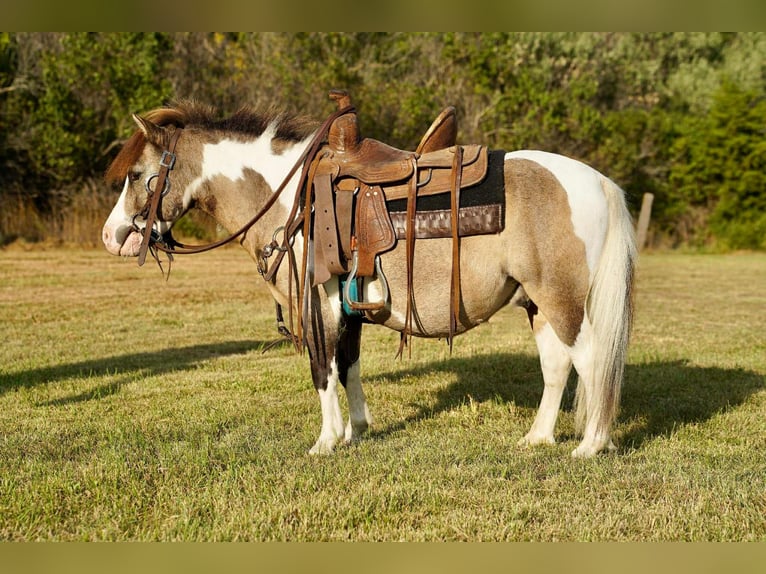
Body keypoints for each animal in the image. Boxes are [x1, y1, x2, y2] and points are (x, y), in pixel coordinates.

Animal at [102, 97, 636, 458]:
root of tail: (598, 182)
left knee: (591, 362)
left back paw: (591, 444)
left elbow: (322, 369)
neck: (289, 199)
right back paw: (538, 437)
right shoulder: (348, 307)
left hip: (561, 301)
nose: (112, 236)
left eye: (138, 175)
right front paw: (357, 429)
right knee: (557, 366)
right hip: (536, 302)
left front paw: (325, 441)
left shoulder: (317, 302)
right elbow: (348, 366)